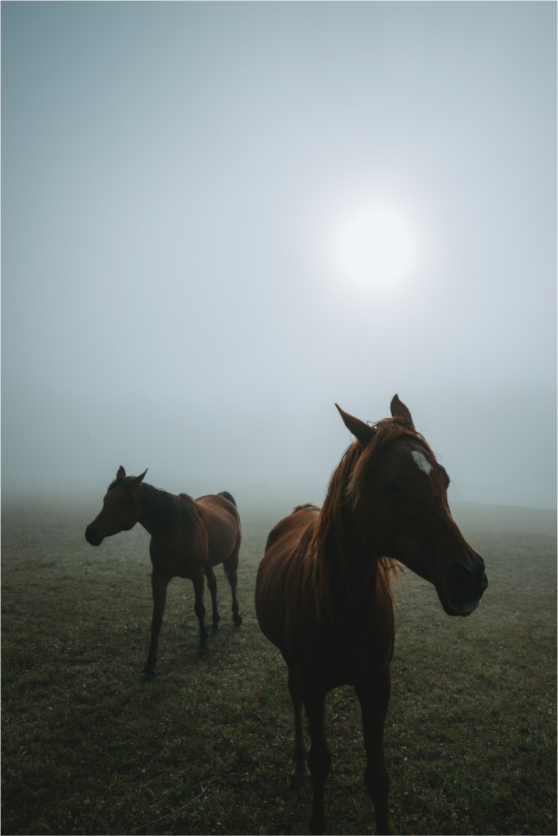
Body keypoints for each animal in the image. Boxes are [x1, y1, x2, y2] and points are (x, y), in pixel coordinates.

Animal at [85, 467, 242, 682]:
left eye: (122, 502)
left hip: (233, 555)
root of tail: (222, 496)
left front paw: (202, 646)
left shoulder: (196, 574)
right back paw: (216, 624)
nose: (91, 532)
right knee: (214, 585)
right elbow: (156, 619)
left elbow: (199, 609)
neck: (175, 531)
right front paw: (149, 666)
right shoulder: (159, 576)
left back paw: (236, 617)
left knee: (232, 582)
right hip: (209, 565)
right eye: (105, 499)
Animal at [255, 395, 487, 836]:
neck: (343, 604)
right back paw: (298, 767)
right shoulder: (314, 684)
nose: (468, 577)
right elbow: (322, 761)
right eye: (390, 485)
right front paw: (316, 816)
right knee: (294, 702)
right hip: (292, 665)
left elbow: (378, 776)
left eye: (445, 480)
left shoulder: (377, 683)